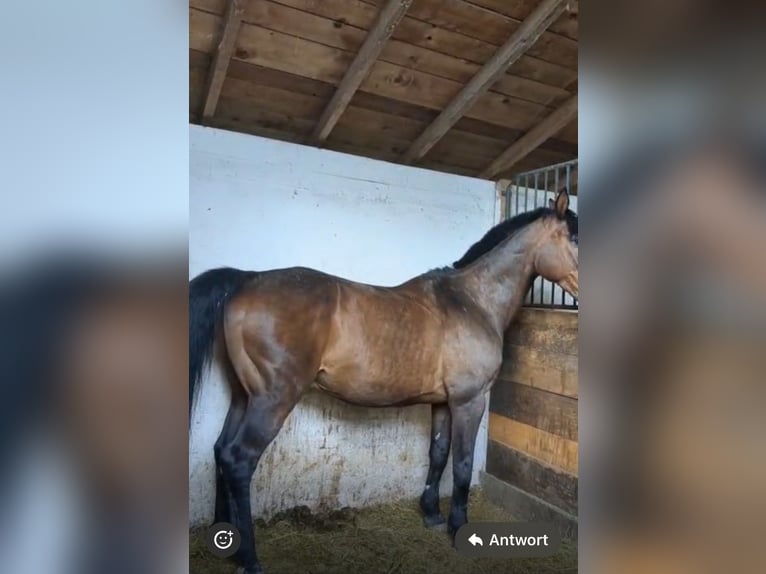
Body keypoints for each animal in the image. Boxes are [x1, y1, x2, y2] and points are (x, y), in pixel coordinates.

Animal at [189, 189, 578, 574]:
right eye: (574, 238)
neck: (473, 301)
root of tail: (247, 279)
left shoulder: (442, 401)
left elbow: (438, 453)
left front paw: (431, 514)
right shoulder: (469, 400)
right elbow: (463, 463)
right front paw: (457, 527)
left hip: (243, 396)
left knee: (221, 451)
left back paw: (227, 544)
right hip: (273, 400)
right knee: (239, 459)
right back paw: (250, 560)